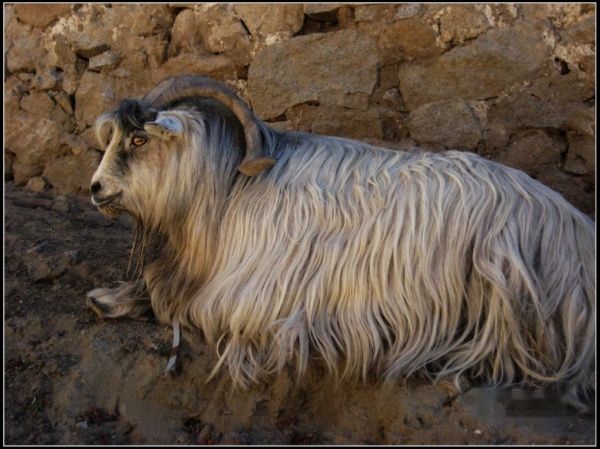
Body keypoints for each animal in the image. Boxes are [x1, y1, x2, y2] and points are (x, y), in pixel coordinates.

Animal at [86, 75, 595, 409]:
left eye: (138, 139)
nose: (95, 189)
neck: (228, 190)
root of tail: (574, 228)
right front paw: (106, 297)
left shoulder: (246, 297)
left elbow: (175, 302)